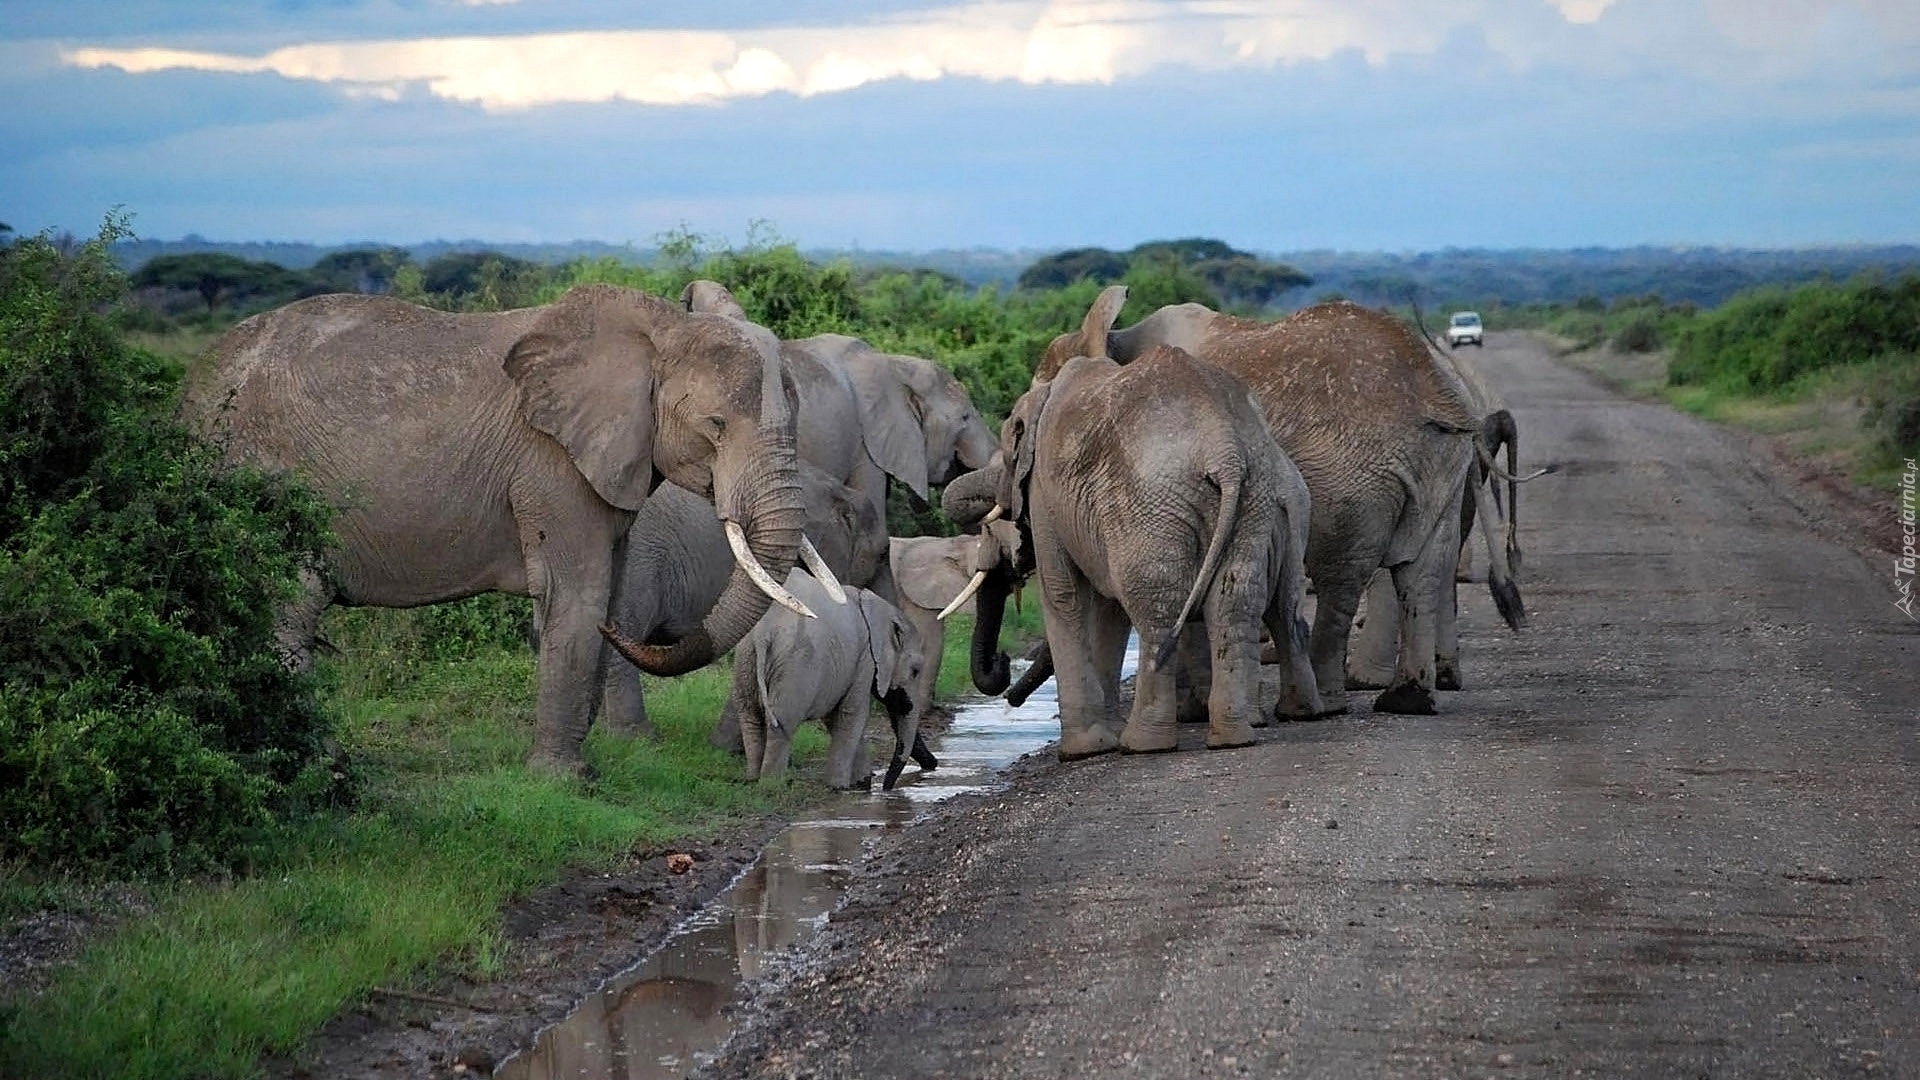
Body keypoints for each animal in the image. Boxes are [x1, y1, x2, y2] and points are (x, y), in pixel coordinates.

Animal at [189, 284, 840, 772]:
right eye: (715, 424)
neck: (655, 329)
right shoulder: (550, 464)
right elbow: (578, 596)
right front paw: (566, 779)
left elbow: (607, 592)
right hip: (257, 477)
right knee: (287, 616)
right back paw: (325, 768)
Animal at [718, 568, 933, 787]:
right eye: (915, 671)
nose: (886, 788)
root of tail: (763, 634)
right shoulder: (865, 657)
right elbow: (852, 713)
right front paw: (840, 787)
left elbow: (835, 716)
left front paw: (861, 782)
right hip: (795, 667)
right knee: (781, 722)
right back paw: (771, 785)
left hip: (745, 661)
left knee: (751, 718)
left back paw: (753, 779)